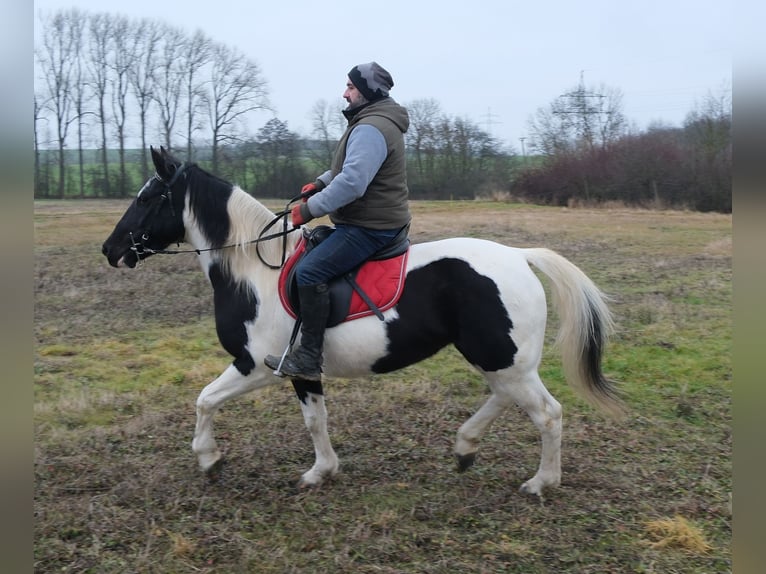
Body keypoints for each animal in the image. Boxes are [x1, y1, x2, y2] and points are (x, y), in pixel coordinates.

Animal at [102, 146, 623, 497]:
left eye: (147, 198)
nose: (110, 249)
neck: (253, 271)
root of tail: (519, 256)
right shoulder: (302, 370)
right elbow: (315, 421)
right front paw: (322, 470)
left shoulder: (254, 366)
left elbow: (205, 400)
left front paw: (210, 460)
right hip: (497, 359)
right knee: (505, 398)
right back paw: (465, 447)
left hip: (502, 359)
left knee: (547, 413)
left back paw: (540, 481)